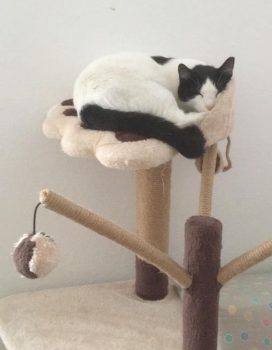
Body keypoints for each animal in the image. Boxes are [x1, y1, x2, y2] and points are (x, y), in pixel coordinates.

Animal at [73, 52, 235, 158]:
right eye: (198, 93)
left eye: (218, 92)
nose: (211, 106)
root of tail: (83, 105)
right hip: (156, 92)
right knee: (177, 118)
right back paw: (203, 116)